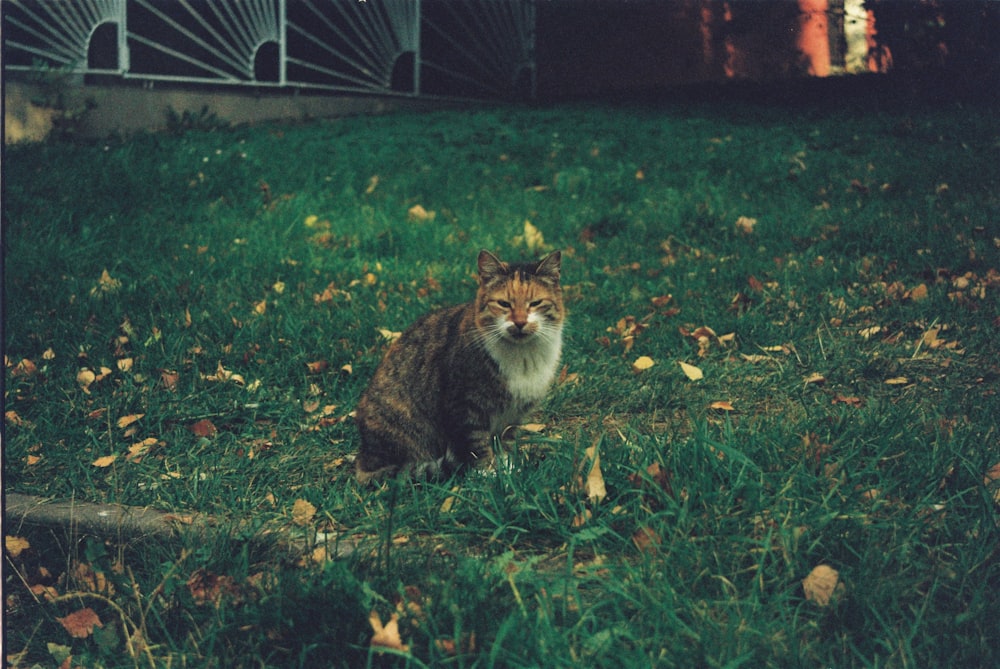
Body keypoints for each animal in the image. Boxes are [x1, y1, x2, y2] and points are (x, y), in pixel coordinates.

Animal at [356, 248, 568, 482]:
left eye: (535, 303)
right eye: (504, 304)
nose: (520, 322)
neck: (523, 356)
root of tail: (363, 460)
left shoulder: (513, 415)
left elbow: (505, 442)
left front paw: (508, 469)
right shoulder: (465, 407)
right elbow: (477, 444)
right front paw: (488, 473)